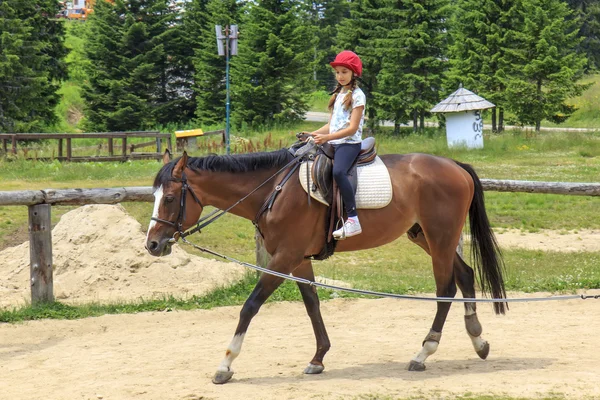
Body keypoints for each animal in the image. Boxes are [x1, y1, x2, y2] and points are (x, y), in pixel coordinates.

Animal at [145, 147, 506, 384]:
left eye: (169, 198)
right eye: (155, 196)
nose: (152, 244)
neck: (273, 189)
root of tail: (454, 165)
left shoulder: (285, 257)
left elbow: (250, 305)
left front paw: (226, 364)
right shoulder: (299, 260)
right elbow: (312, 304)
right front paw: (318, 358)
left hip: (440, 237)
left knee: (446, 288)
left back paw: (423, 354)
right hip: (425, 237)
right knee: (465, 275)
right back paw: (479, 340)